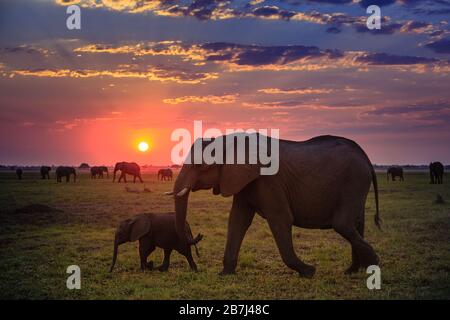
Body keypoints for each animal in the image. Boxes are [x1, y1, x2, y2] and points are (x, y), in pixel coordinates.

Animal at [167, 133, 382, 278]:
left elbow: (280, 218)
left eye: (200, 166)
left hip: (353, 183)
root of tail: (365, 157)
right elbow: (237, 220)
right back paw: (352, 270)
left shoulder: (269, 181)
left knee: (343, 224)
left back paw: (374, 268)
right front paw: (225, 274)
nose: (198, 235)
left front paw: (309, 272)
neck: (228, 140)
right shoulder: (245, 180)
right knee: (356, 224)